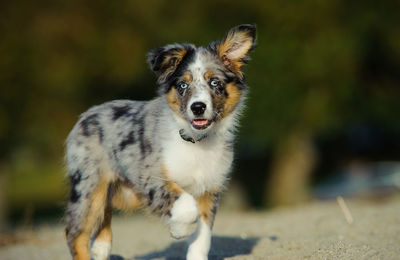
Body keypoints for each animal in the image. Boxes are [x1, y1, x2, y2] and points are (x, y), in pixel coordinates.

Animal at [62, 24, 256, 260]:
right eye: (183, 85)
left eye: (214, 83)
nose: (198, 107)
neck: (195, 142)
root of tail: (87, 115)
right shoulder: (150, 177)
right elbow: (186, 205)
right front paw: (178, 229)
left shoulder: (209, 189)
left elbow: (203, 235)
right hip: (89, 185)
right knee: (76, 233)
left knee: (102, 219)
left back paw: (101, 249)